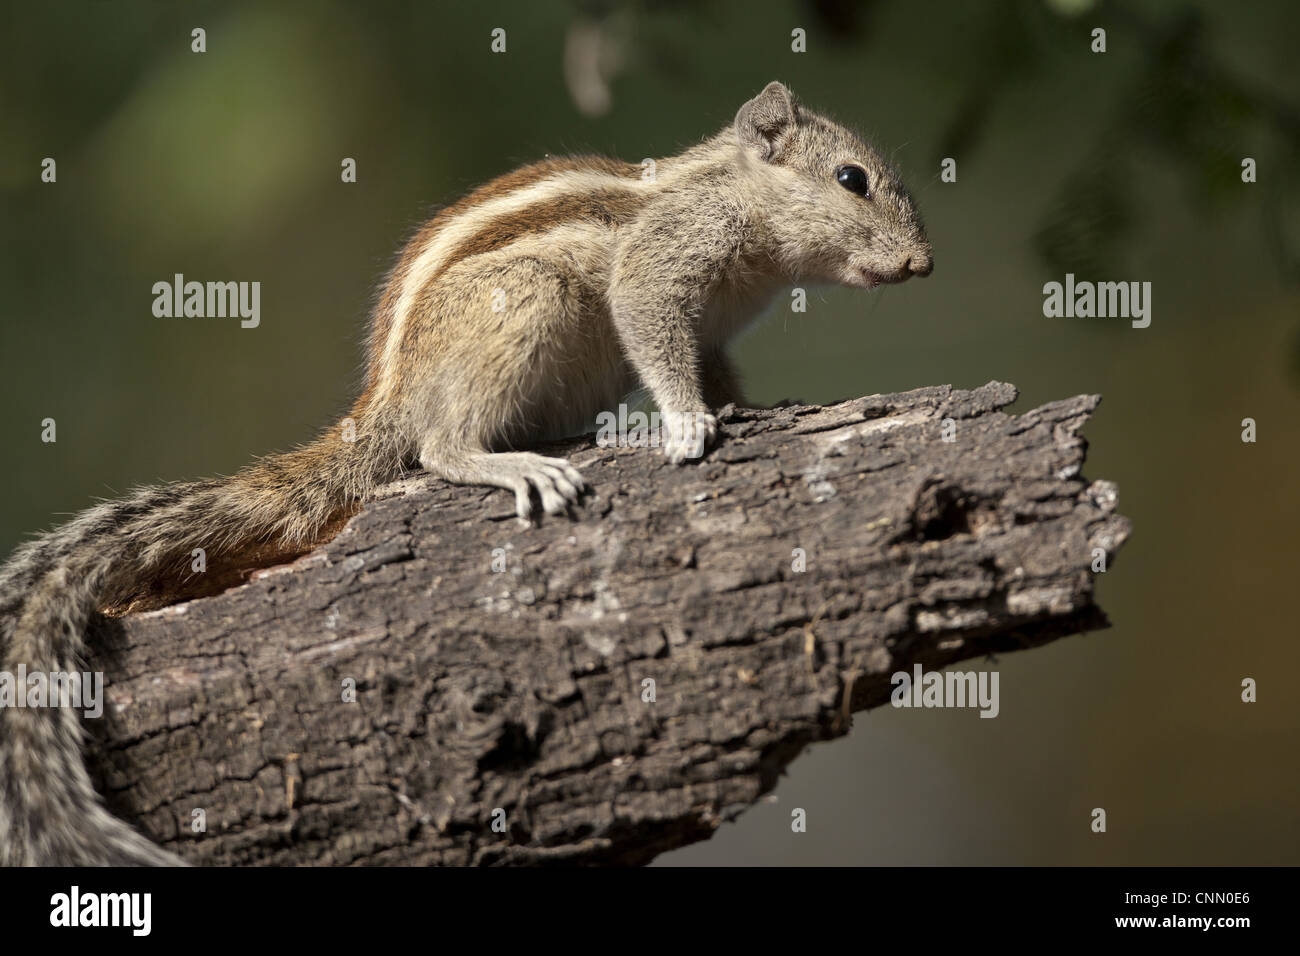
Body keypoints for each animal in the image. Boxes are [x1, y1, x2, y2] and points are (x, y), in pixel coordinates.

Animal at [2, 82, 935, 863]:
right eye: (851, 178)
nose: (924, 265)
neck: (735, 199)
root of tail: (385, 404)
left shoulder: (714, 330)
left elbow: (714, 368)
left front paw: (748, 407)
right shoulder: (660, 271)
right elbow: (656, 338)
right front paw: (685, 423)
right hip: (521, 305)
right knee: (439, 448)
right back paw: (512, 463)